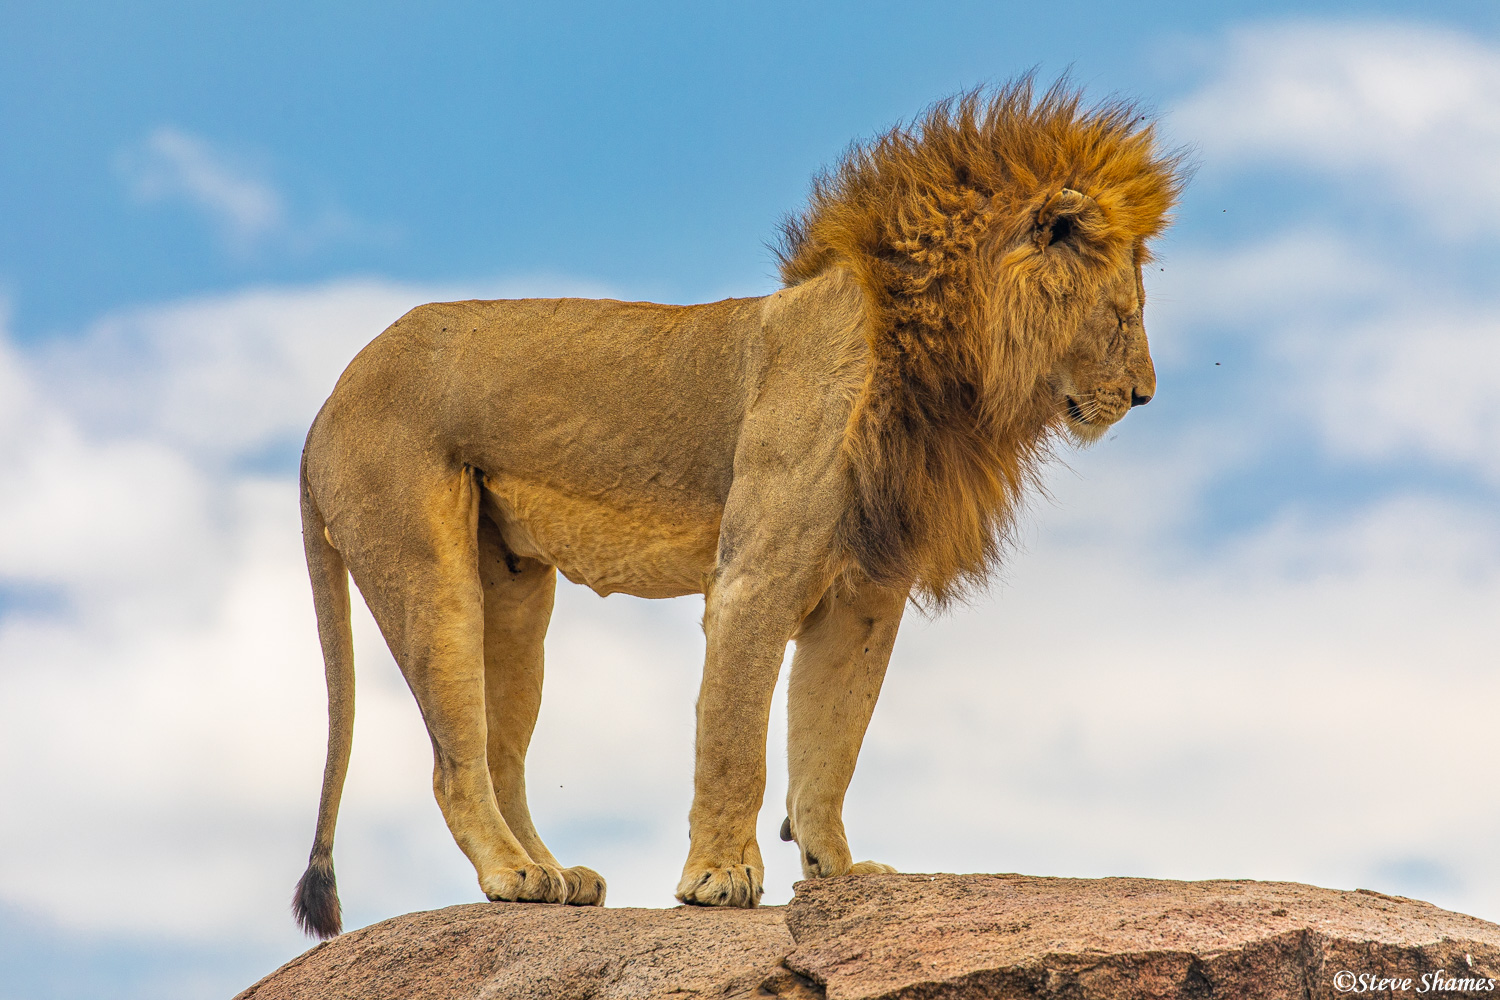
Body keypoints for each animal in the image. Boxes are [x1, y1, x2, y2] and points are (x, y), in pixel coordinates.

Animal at [292, 80, 1182, 941]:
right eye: (1125, 315)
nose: (1146, 395)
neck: (939, 363)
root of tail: (325, 405)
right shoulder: (756, 576)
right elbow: (736, 739)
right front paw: (719, 879)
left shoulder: (865, 597)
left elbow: (831, 741)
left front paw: (839, 871)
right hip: (426, 570)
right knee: (455, 760)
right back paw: (512, 875)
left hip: (511, 591)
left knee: (500, 753)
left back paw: (554, 876)